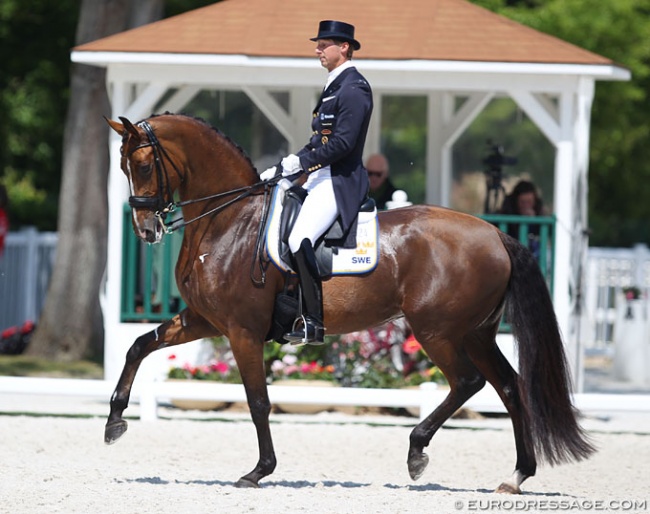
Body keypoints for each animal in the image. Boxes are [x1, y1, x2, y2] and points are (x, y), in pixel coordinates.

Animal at [102, 114, 592, 490]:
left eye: (142, 164)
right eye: (124, 166)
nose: (146, 230)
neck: (228, 221)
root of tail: (494, 233)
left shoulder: (242, 331)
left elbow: (258, 401)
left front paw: (259, 471)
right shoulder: (203, 320)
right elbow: (139, 346)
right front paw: (114, 422)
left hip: (437, 331)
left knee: (468, 383)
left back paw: (417, 452)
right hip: (475, 333)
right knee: (509, 386)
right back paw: (517, 475)